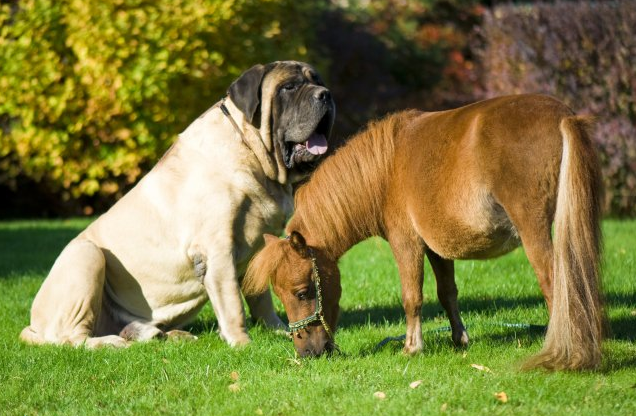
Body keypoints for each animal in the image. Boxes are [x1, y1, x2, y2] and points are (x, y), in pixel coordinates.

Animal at [19, 61, 336, 348]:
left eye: (318, 80)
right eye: (289, 87)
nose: (326, 94)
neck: (253, 154)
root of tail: (32, 327)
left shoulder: (259, 248)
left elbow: (261, 298)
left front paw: (276, 329)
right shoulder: (216, 250)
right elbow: (233, 301)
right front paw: (242, 343)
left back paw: (162, 335)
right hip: (86, 255)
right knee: (71, 338)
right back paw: (109, 342)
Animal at [242, 95, 600, 370]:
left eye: (303, 293)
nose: (307, 352)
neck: (385, 168)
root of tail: (563, 116)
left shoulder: (407, 244)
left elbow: (412, 296)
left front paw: (412, 347)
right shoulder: (437, 248)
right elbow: (447, 293)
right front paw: (460, 340)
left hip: (533, 231)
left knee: (554, 282)